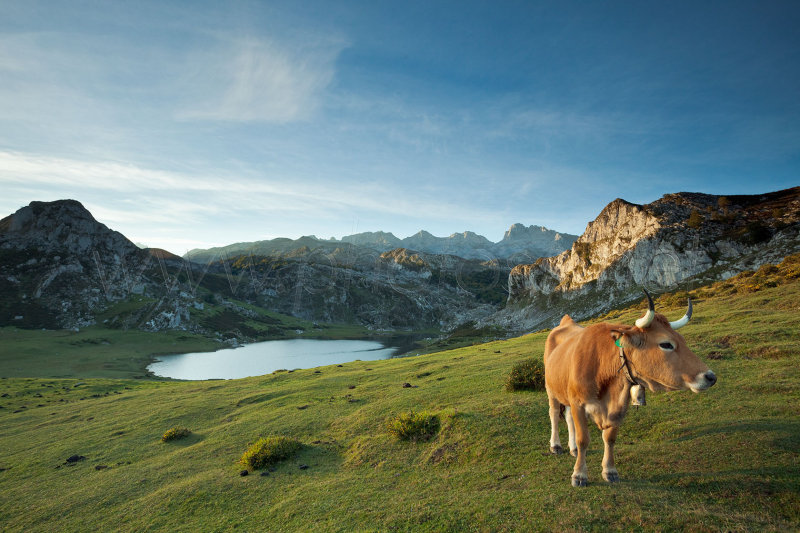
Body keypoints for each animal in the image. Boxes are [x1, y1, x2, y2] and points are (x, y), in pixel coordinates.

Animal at [544, 290, 720, 486]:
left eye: (682, 340)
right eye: (666, 344)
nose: (710, 377)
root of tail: (566, 321)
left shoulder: (620, 407)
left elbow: (610, 438)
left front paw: (610, 470)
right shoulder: (579, 404)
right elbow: (584, 439)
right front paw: (579, 475)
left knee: (567, 416)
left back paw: (572, 448)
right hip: (551, 389)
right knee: (554, 413)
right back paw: (556, 445)